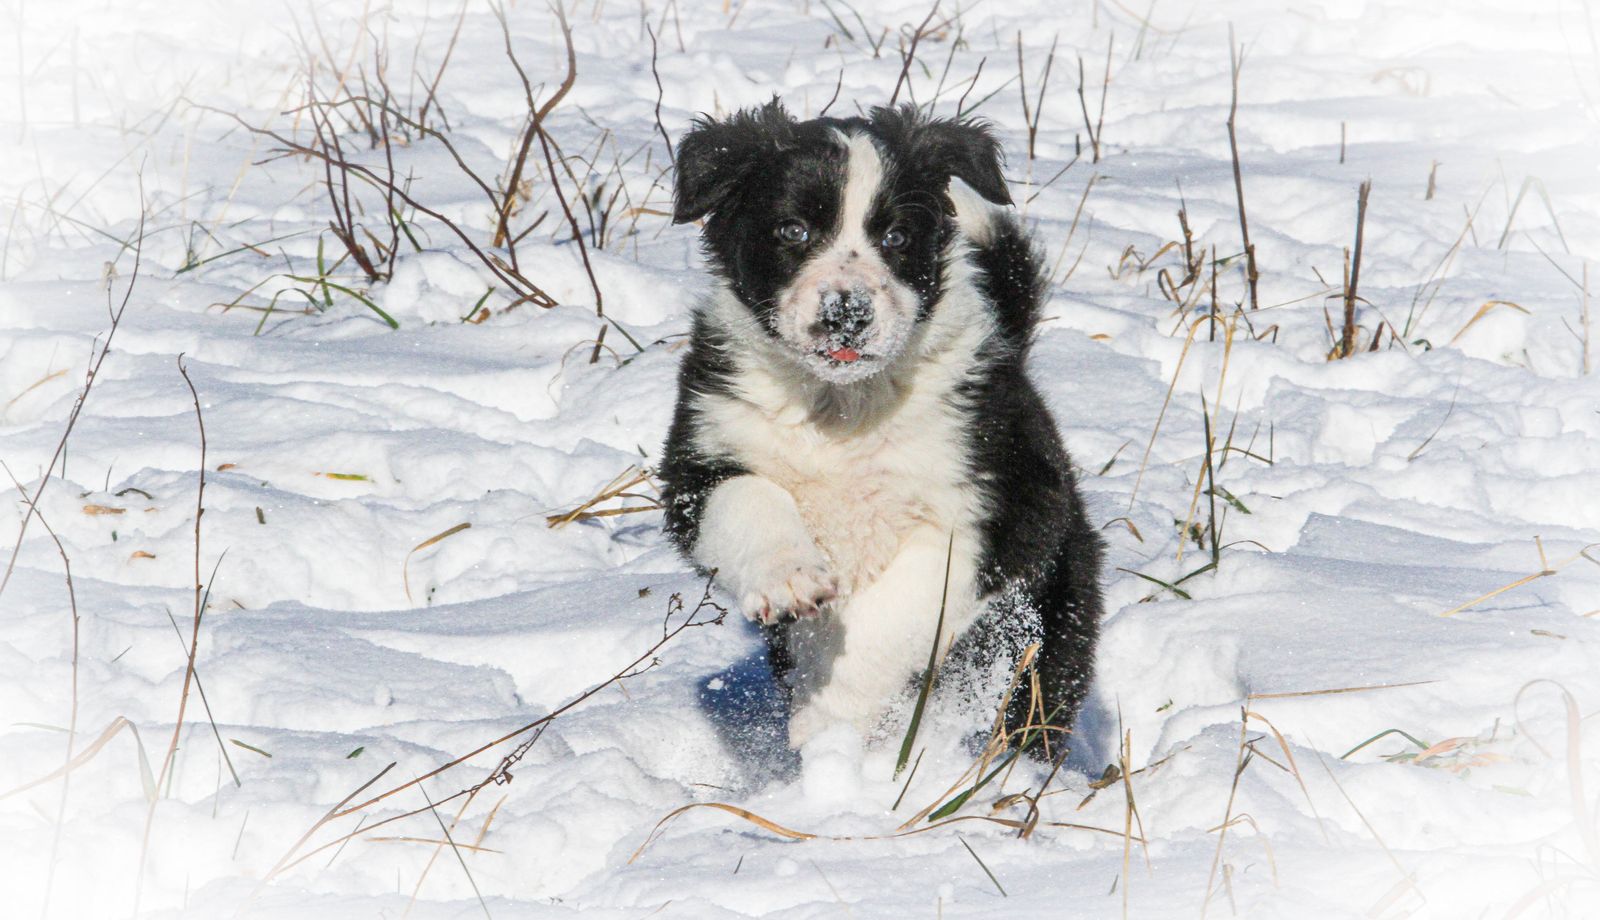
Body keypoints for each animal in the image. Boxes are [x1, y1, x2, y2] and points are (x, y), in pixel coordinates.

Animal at [659, 100, 1103, 754]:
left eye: (896, 237)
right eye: (793, 231)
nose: (847, 311)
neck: (841, 410)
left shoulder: (988, 513)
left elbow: (889, 617)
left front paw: (828, 720)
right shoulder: (703, 456)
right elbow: (748, 499)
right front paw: (790, 580)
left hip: (1054, 617)